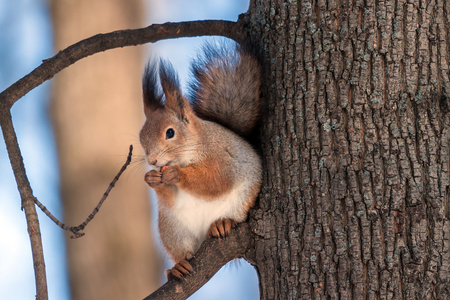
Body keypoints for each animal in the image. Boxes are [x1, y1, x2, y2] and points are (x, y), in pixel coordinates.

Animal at [139, 43, 262, 280]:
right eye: (141, 138)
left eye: (170, 132)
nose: (153, 160)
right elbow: (171, 197)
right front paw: (152, 179)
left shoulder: (223, 157)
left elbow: (215, 181)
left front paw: (177, 175)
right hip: (173, 230)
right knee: (183, 251)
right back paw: (178, 266)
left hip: (241, 203)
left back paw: (223, 223)